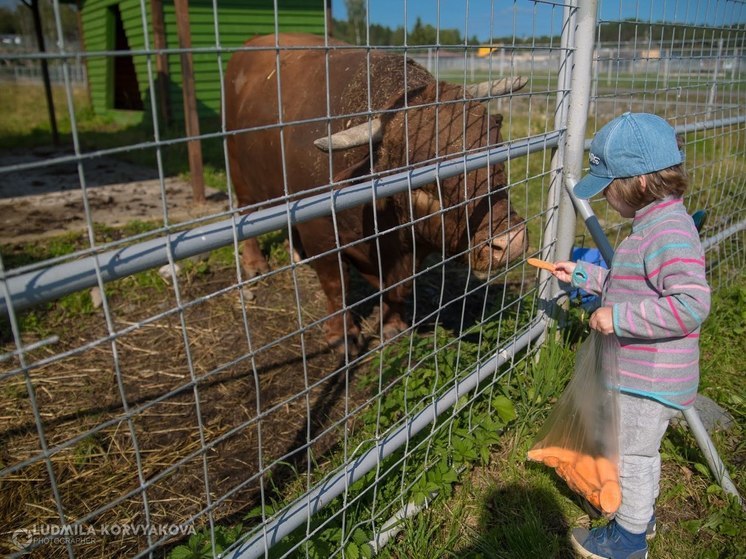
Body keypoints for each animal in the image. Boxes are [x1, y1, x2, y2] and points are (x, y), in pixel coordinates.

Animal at [224, 32, 528, 352]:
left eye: (496, 148)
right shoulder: (319, 232)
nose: (510, 241)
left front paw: (393, 326)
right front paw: (342, 336)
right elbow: (336, 286)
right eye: (425, 172)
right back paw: (255, 264)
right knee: (245, 213)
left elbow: (397, 290)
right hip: (238, 170)